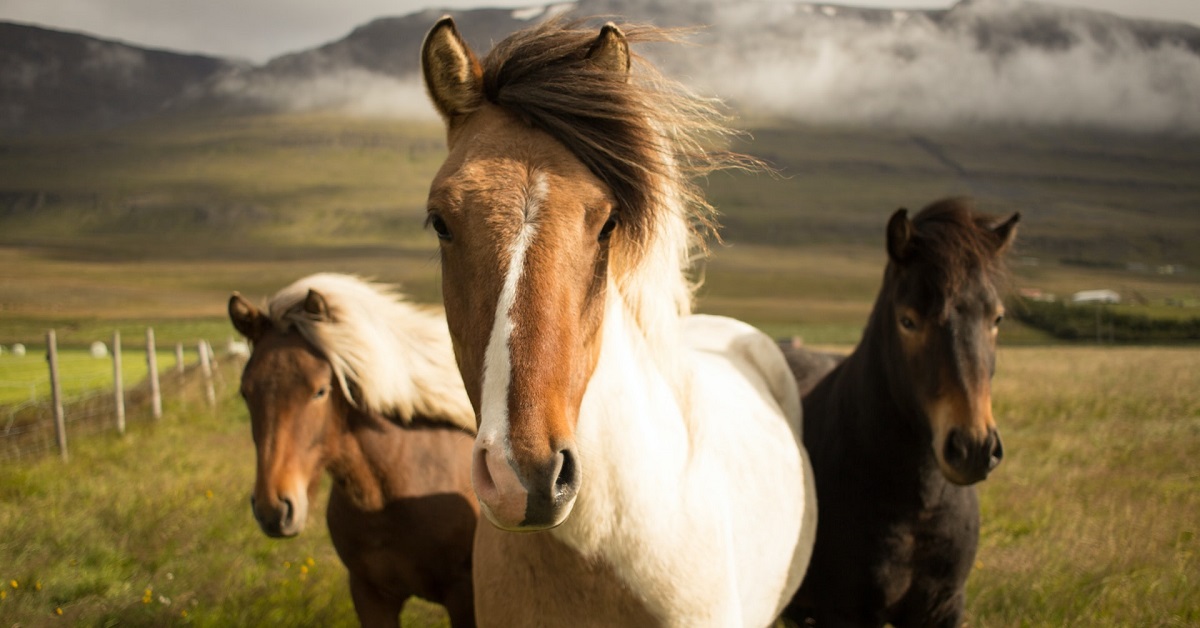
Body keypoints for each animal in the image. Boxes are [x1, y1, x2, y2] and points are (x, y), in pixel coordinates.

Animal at [777, 200, 1022, 628]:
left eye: (997, 318)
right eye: (908, 320)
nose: (973, 448)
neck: (916, 509)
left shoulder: (943, 607)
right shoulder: (848, 613)